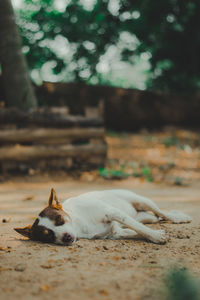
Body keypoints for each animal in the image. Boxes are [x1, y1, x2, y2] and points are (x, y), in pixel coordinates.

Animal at [14, 189, 191, 245]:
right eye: (48, 236)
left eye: (59, 220)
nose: (66, 237)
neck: (80, 224)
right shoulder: (115, 234)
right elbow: (136, 232)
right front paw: (156, 234)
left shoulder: (114, 213)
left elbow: (139, 229)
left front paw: (155, 236)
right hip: (145, 216)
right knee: (154, 218)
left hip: (142, 201)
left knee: (162, 213)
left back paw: (179, 217)